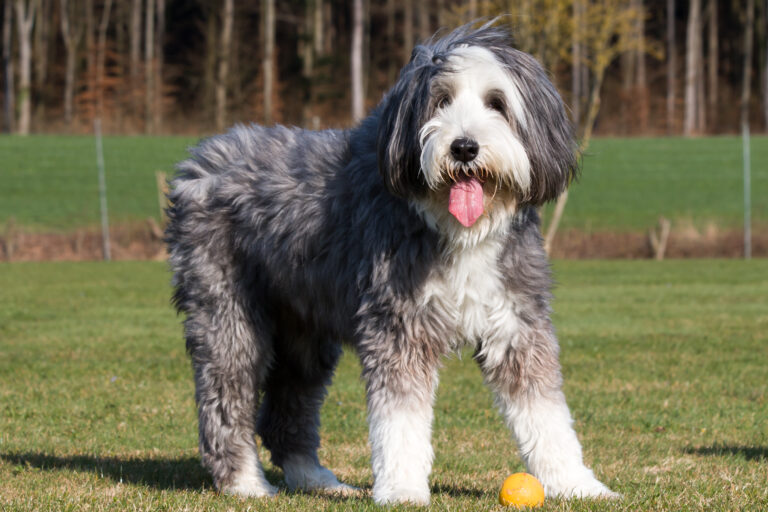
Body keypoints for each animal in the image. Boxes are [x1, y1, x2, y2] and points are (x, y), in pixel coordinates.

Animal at [165, 23, 616, 504]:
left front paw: (576, 483)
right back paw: (245, 483)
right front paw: (401, 488)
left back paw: (316, 479)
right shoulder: (399, 324)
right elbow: (399, 421)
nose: (464, 147)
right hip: (228, 313)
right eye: (441, 100)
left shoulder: (515, 321)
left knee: (290, 405)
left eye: (497, 102)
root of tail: (200, 159)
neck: (457, 229)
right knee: (225, 398)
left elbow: (545, 412)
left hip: (304, 329)